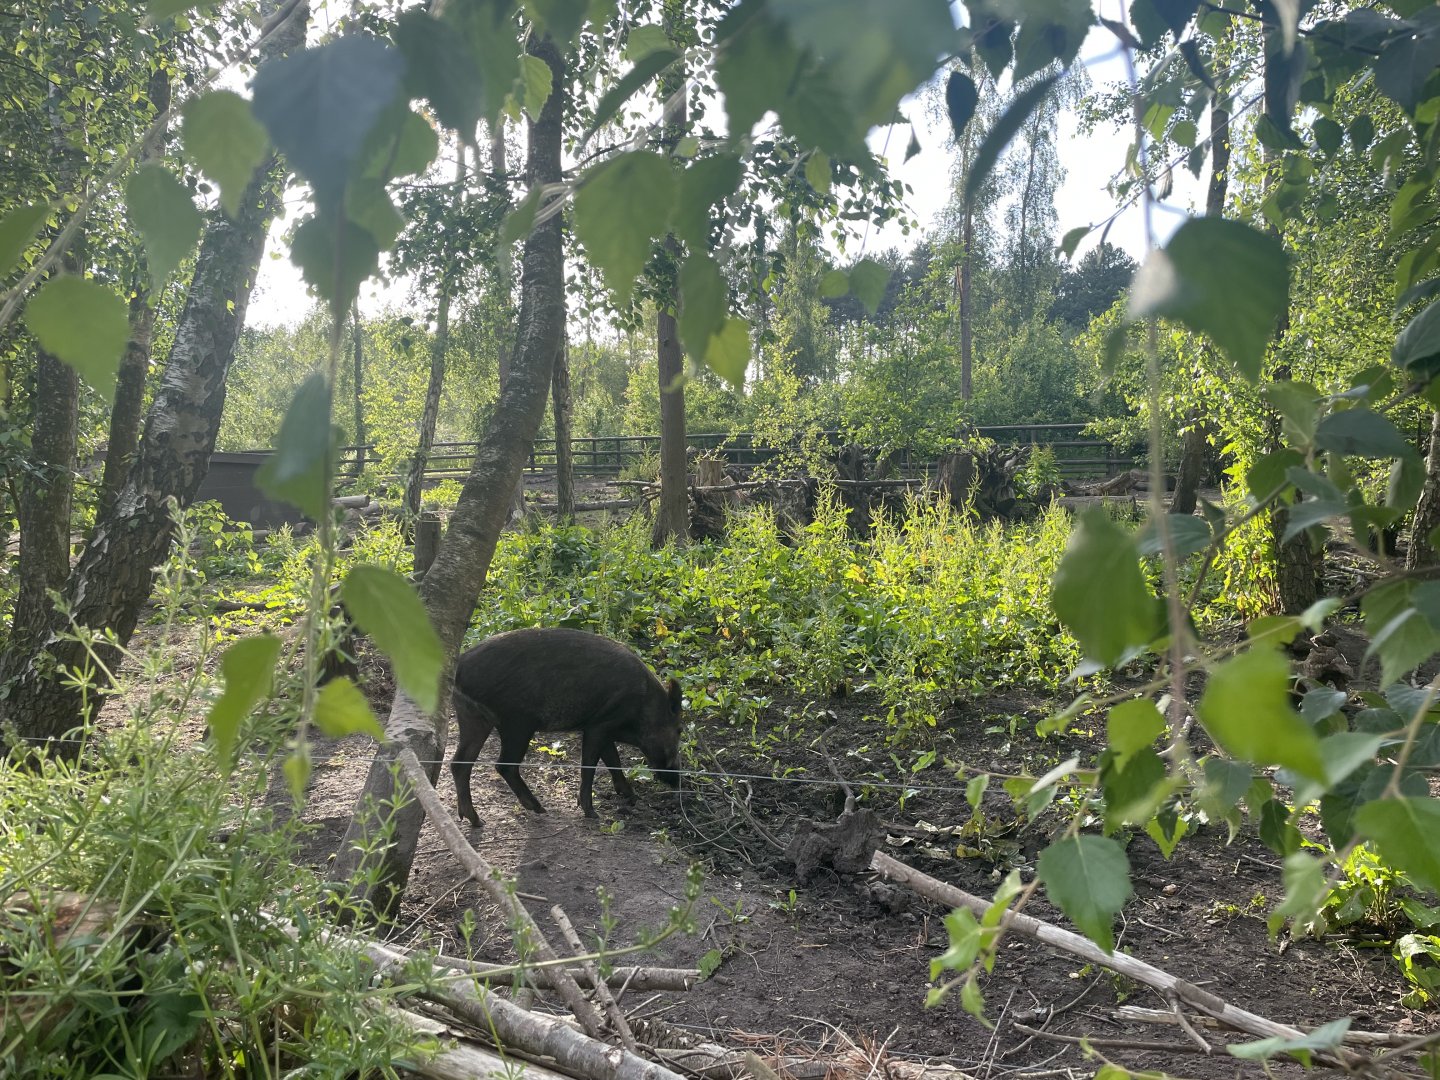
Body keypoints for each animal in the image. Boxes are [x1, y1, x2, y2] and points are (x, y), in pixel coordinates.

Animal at [449, 627, 683, 827]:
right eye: (679, 730)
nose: (677, 780)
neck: (644, 706)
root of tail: (459, 669)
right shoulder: (598, 725)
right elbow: (589, 766)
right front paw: (592, 814)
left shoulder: (603, 730)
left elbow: (613, 760)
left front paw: (632, 797)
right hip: (516, 723)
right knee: (503, 765)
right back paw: (538, 809)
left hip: (474, 719)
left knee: (459, 763)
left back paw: (477, 821)